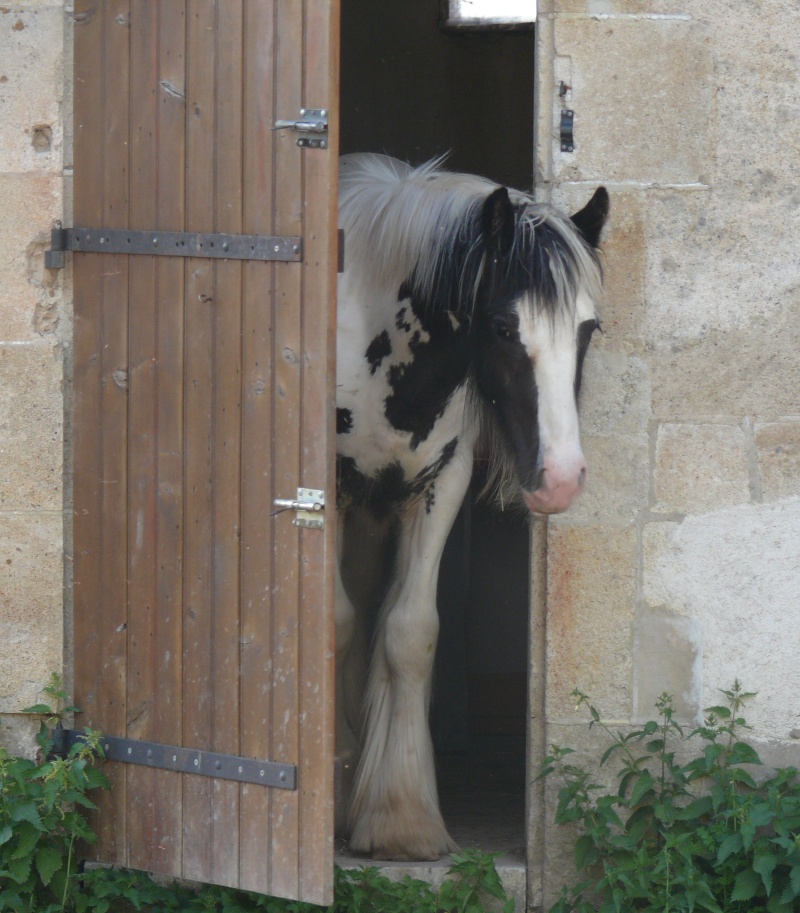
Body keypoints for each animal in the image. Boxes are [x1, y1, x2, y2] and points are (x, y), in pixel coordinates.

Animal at [334, 153, 608, 860]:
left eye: (587, 328)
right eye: (505, 328)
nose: (561, 478)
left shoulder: (440, 483)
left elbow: (410, 632)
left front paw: (401, 822)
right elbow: (334, 624)